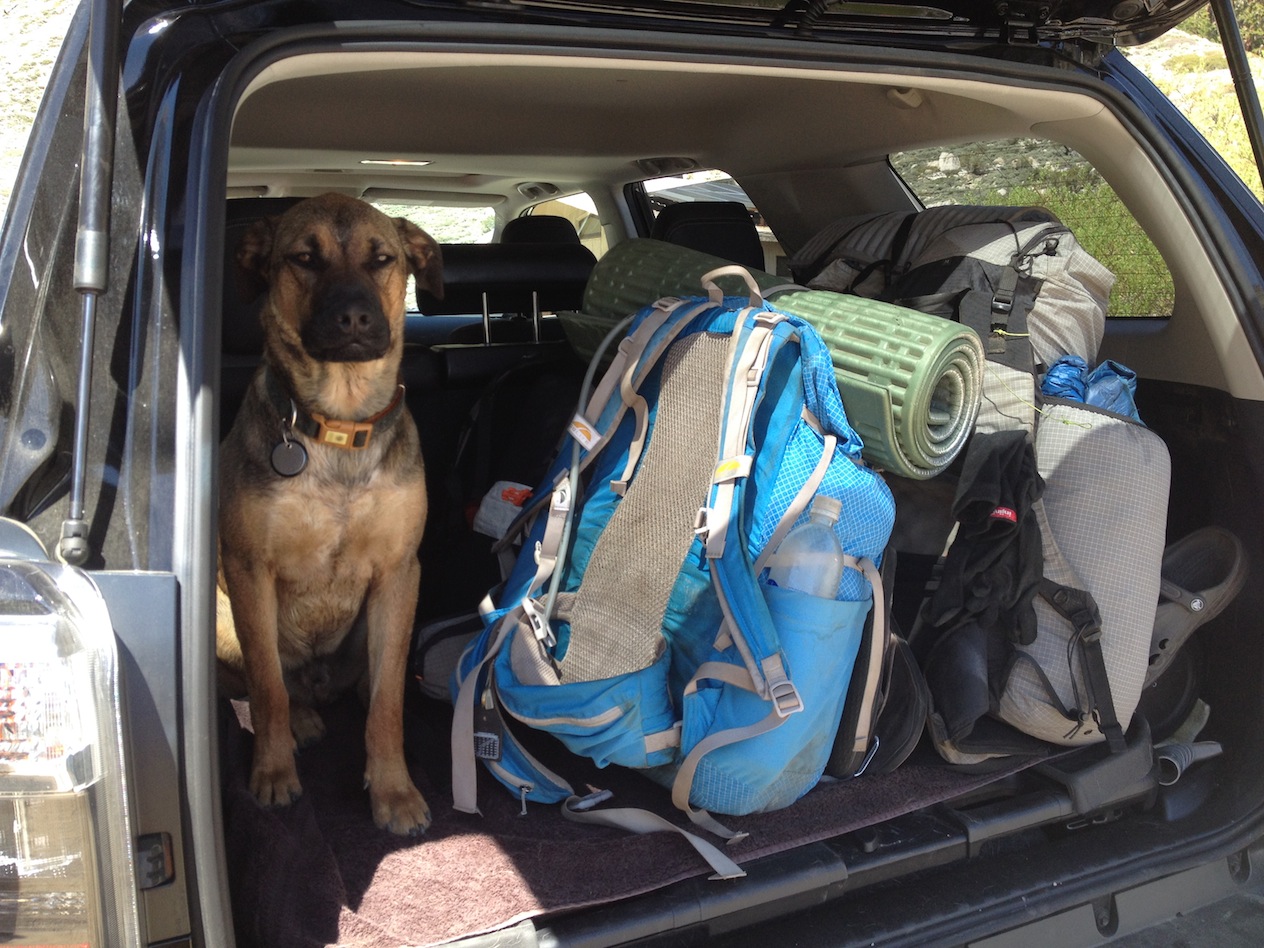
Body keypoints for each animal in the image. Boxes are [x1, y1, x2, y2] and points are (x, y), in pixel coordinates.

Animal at [221, 194, 444, 839]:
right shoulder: (248, 570)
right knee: (278, 684)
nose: (353, 319)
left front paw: (393, 790)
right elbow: (267, 688)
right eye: (304, 258)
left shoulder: (399, 573)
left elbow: (389, 700)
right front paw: (272, 774)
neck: (340, 423)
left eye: (382, 259)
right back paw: (302, 720)